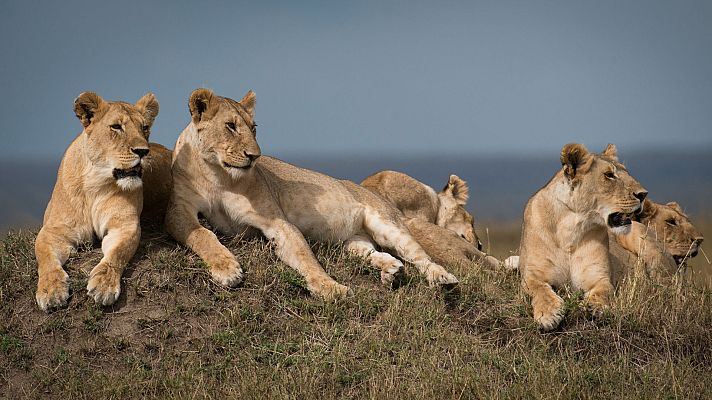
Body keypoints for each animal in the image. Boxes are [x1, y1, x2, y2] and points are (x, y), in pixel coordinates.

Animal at [35, 92, 172, 311]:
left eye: (144, 127)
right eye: (116, 127)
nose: (143, 151)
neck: (94, 182)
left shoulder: (125, 226)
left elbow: (116, 254)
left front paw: (104, 285)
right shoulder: (54, 230)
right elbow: (45, 257)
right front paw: (51, 291)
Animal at [165, 89, 459, 300]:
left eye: (254, 127)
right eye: (230, 126)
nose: (254, 156)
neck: (219, 175)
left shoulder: (277, 222)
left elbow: (305, 257)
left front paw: (329, 288)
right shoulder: (178, 209)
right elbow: (203, 235)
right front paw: (225, 268)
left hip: (387, 224)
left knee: (420, 256)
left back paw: (442, 278)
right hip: (352, 242)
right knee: (374, 253)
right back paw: (391, 272)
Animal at [518, 143, 647, 331]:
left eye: (626, 172)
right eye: (609, 175)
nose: (644, 194)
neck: (571, 227)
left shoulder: (600, 277)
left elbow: (604, 292)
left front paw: (595, 307)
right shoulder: (532, 275)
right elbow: (540, 290)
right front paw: (548, 313)